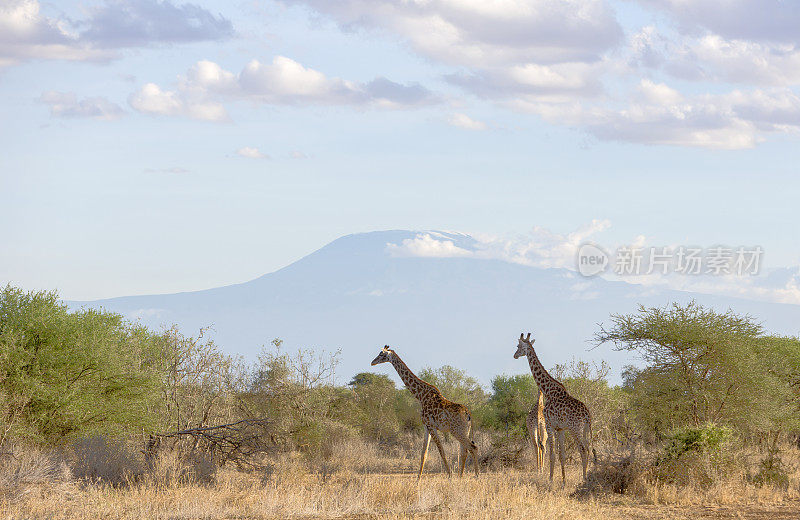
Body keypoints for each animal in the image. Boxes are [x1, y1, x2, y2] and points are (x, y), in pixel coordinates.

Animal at [372, 346, 478, 480]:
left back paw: (477, 476)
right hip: (464, 431)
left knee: (473, 448)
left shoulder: (431, 426)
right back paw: (461, 477)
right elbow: (424, 453)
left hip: (457, 431)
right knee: (465, 451)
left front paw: (449, 476)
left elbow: (441, 451)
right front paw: (418, 479)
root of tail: (468, 415)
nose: (372, 362)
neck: (420, 395)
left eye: (381, 354)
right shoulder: (426, 426)